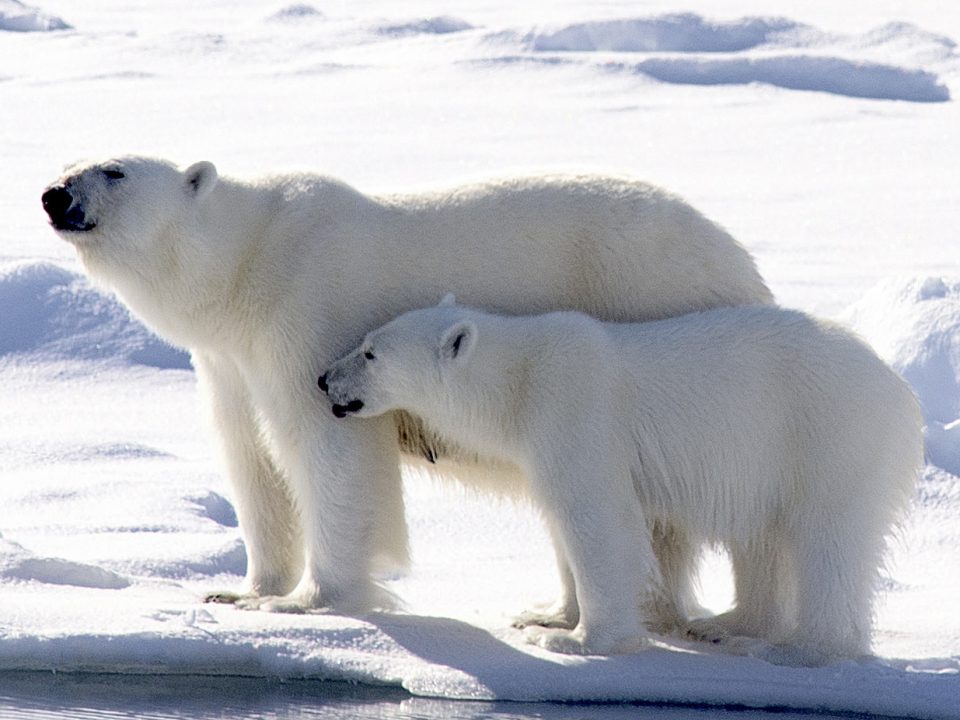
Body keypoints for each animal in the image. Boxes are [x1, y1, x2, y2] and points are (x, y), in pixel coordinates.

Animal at [43, 158, 772, 620]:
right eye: (75, 160)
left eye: (115, 170)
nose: (54, 194)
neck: (249, 261)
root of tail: (743, 265)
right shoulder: (229, 358)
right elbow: (252, 458)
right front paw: (244, 591)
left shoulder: (310, 307)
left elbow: (331, 448)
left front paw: (312, 599)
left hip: (654, 312)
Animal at [320, 298, 924, 664]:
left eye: (370, 351)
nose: (323, 378)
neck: (519, 382)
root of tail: (901, 392)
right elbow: (560, 523)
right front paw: (545, 612)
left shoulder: (575, 411)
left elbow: (597, 519)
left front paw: (575, 639)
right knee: (765, 539)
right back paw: (728, 625)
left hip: (825, 438)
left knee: (827, 540)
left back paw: (796, 649)